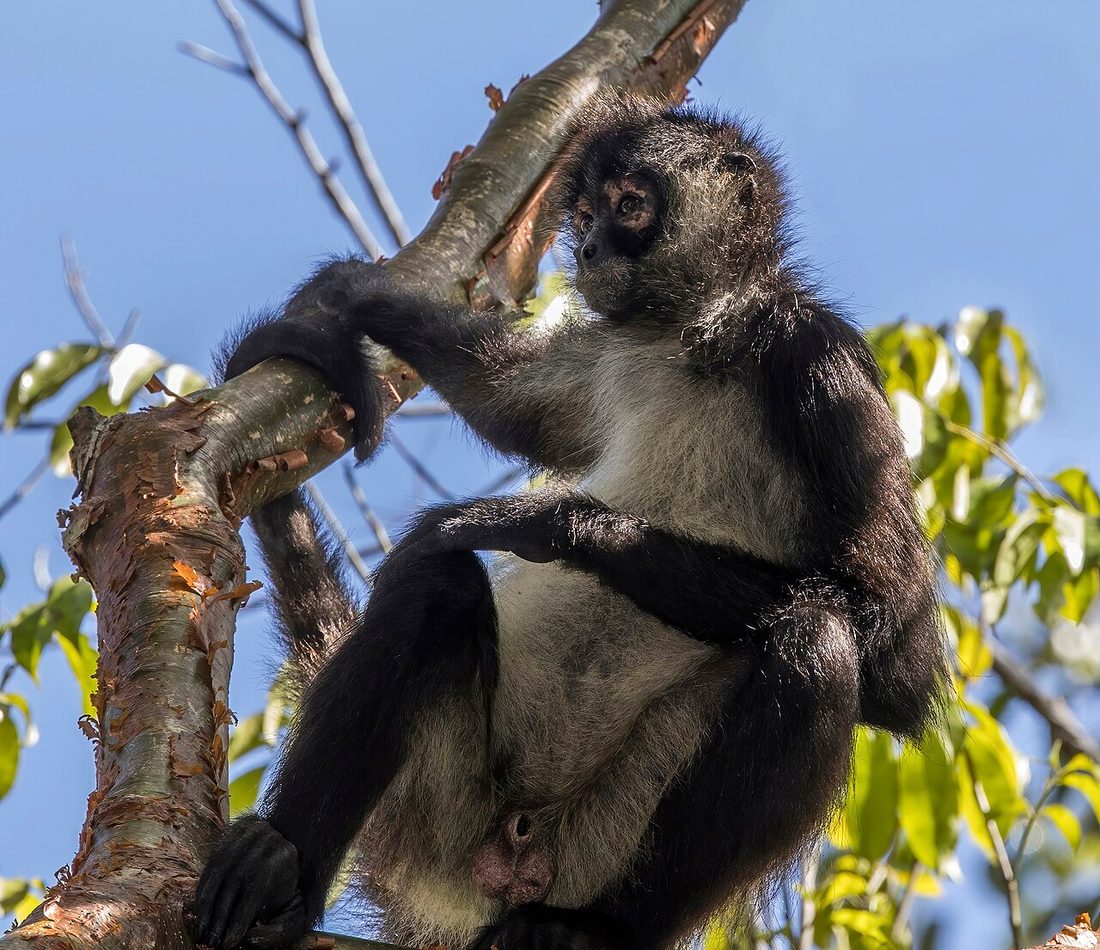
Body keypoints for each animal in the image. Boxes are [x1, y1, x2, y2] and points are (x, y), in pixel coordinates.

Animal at [191, 95, 947, 950]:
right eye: (583, 214)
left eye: (630, 205)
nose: (585, 249)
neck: (696, 340)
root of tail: (513, 851)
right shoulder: (616, 351)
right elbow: (508, 404)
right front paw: (354, 293)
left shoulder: (819, 360)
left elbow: (898, 655)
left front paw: (544, 521)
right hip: (444, 810)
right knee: (432, 588)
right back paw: (283, 870)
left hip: (603, 840)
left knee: (817, 641)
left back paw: (593, 928)